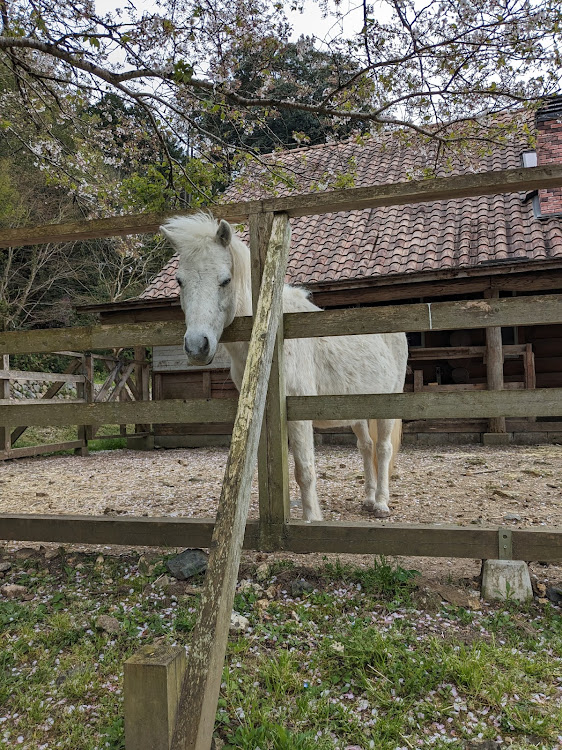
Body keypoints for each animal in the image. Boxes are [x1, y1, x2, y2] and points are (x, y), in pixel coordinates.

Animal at [160, 214, 404, 524]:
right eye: (180, 281)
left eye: (225, 280)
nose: (196, 346)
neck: (272, 336)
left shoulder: (298, 414)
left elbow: (305, 471)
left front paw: (312, 519)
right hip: (358, 408)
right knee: (367, 447)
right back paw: (369, 500)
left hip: (387, 406)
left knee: (383, 450)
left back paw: (382, 504)